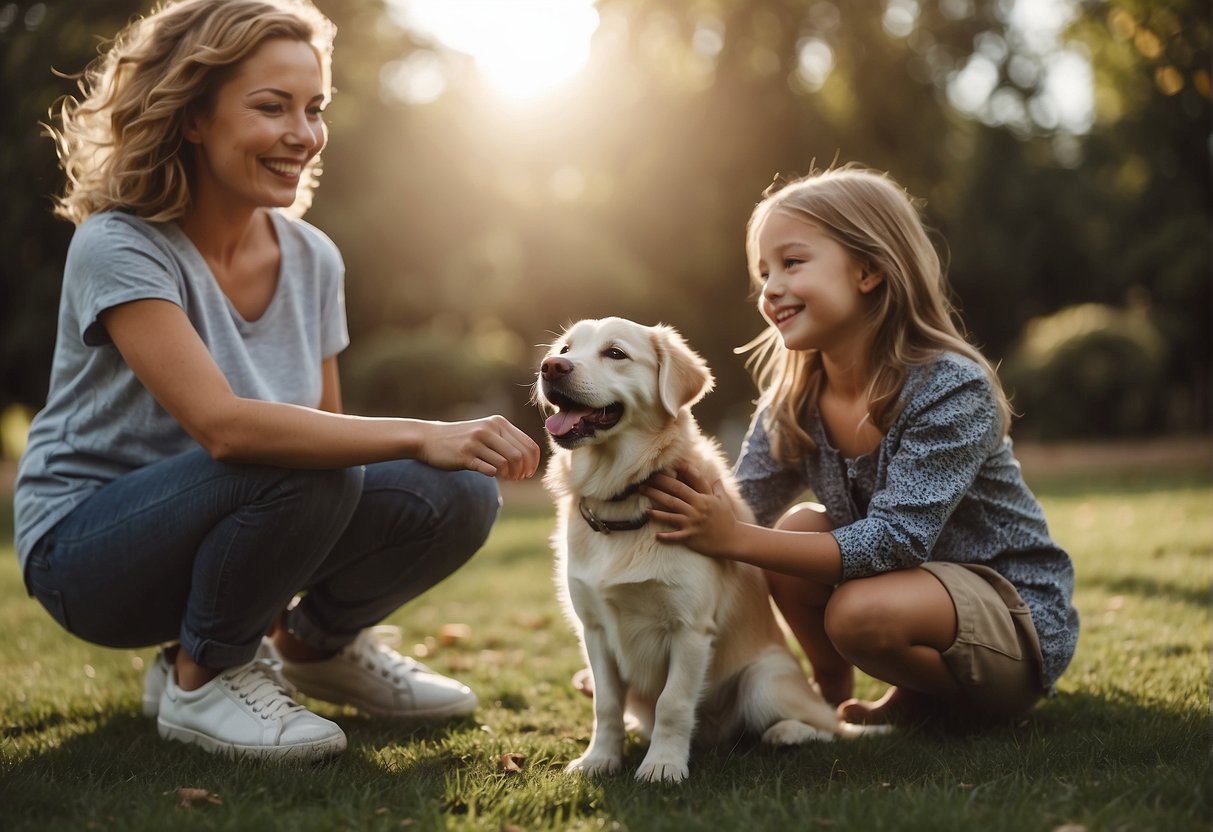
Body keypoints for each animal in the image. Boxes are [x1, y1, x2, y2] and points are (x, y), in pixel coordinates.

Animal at [536, 315, 858, 785]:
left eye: (615, 353)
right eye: (564, 348)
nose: (551, 368)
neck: (623, 497)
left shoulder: (689, 628)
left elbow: (672, 702)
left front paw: (663, 765)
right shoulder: (593, 630)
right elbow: (606, 704)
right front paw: (600, 759)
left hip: (765, 678)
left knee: (829, 726)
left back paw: (789, 732)